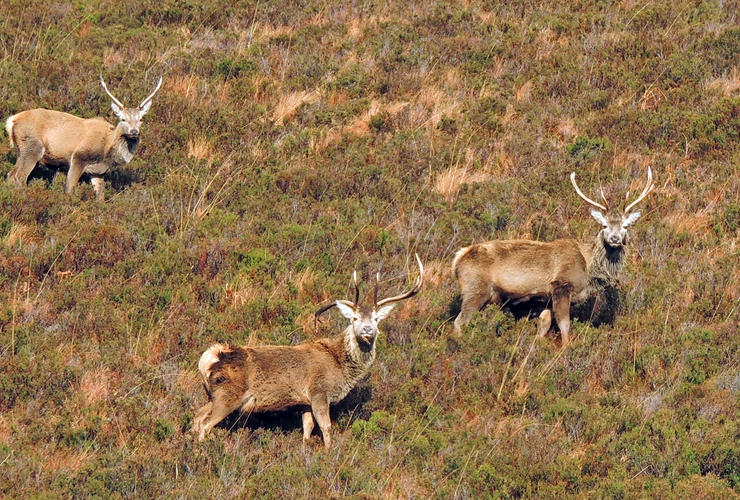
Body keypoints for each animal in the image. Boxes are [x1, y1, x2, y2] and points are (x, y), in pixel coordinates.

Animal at [5, 75, 162, 200]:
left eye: (141, 119)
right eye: (123, 119)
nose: (134, 131)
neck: (107, 149)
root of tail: (12, 120)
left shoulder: (98, 171)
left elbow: (100, 197)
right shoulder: (78, 158)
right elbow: (70, 189)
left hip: (21, 151)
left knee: (11, 174)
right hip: (33, 147)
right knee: (19, 177)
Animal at [190, 255, 424, 448]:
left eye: (376, 319)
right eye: (354, 318)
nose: (367, 329)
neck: (339, 365)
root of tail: (207, 359)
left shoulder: (305, 401)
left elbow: (308, 427)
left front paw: (305, 448)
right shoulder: (320, 391)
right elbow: (326, 427)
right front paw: (329, 452)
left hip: (213, 395)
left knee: (197, 416)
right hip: (227, 395)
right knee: (205, 423)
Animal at [451, 168, 654, 346]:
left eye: (625, 226)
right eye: (604, 225)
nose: (614, 239)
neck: (587, 269)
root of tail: (457, 260)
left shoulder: (546, 298)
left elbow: (544, 325)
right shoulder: (562, 285)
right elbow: (564, 324)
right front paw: (565, 348)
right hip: (475, 287)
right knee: (460, 321)